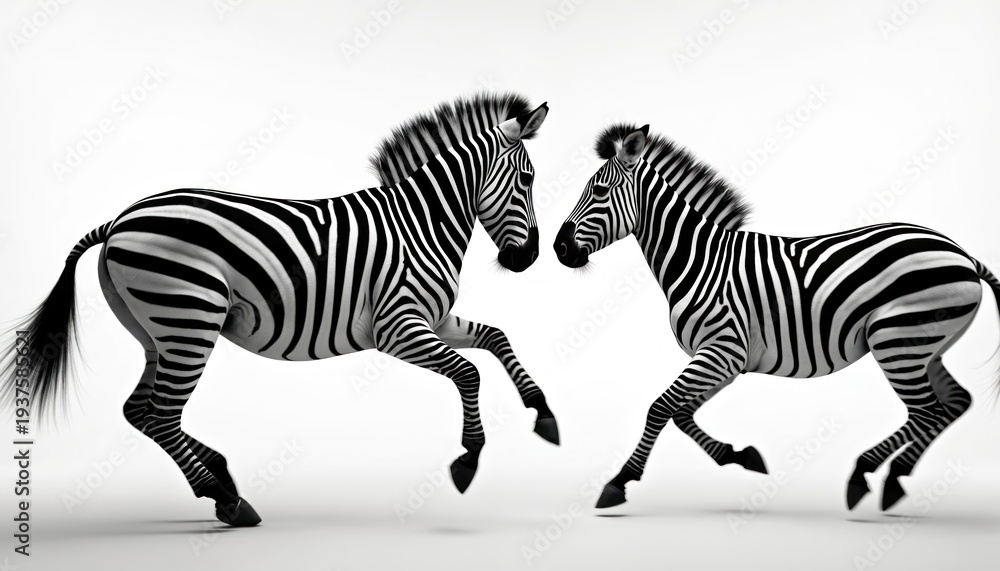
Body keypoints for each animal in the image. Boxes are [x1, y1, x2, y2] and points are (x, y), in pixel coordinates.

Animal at [1, 93, 557, 527]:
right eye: (528, 179)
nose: (528, 258)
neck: (419, 223)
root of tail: (118, 220)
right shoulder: (396, 327)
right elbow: (468, 373)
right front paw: (469, 457)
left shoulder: (433, 318)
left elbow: (496, 337)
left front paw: (544, 412)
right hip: (190, 320)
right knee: (160, 414)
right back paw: (227, 498)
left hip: (158, 331)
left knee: (140, 411)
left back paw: (220, 479)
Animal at [554, 123, 1000, 511]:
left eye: (599, 191)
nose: (559, 248)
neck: (700, 260)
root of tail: (962, 253)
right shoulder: (725, 360)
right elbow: (681, 413)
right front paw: (740, 456)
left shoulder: (722, 350)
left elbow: (660, 408)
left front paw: (619, 482)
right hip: (925, 346)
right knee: (954, 403)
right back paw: (895, 480)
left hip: (897, 341)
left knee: (927, 411)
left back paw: (865, 473)